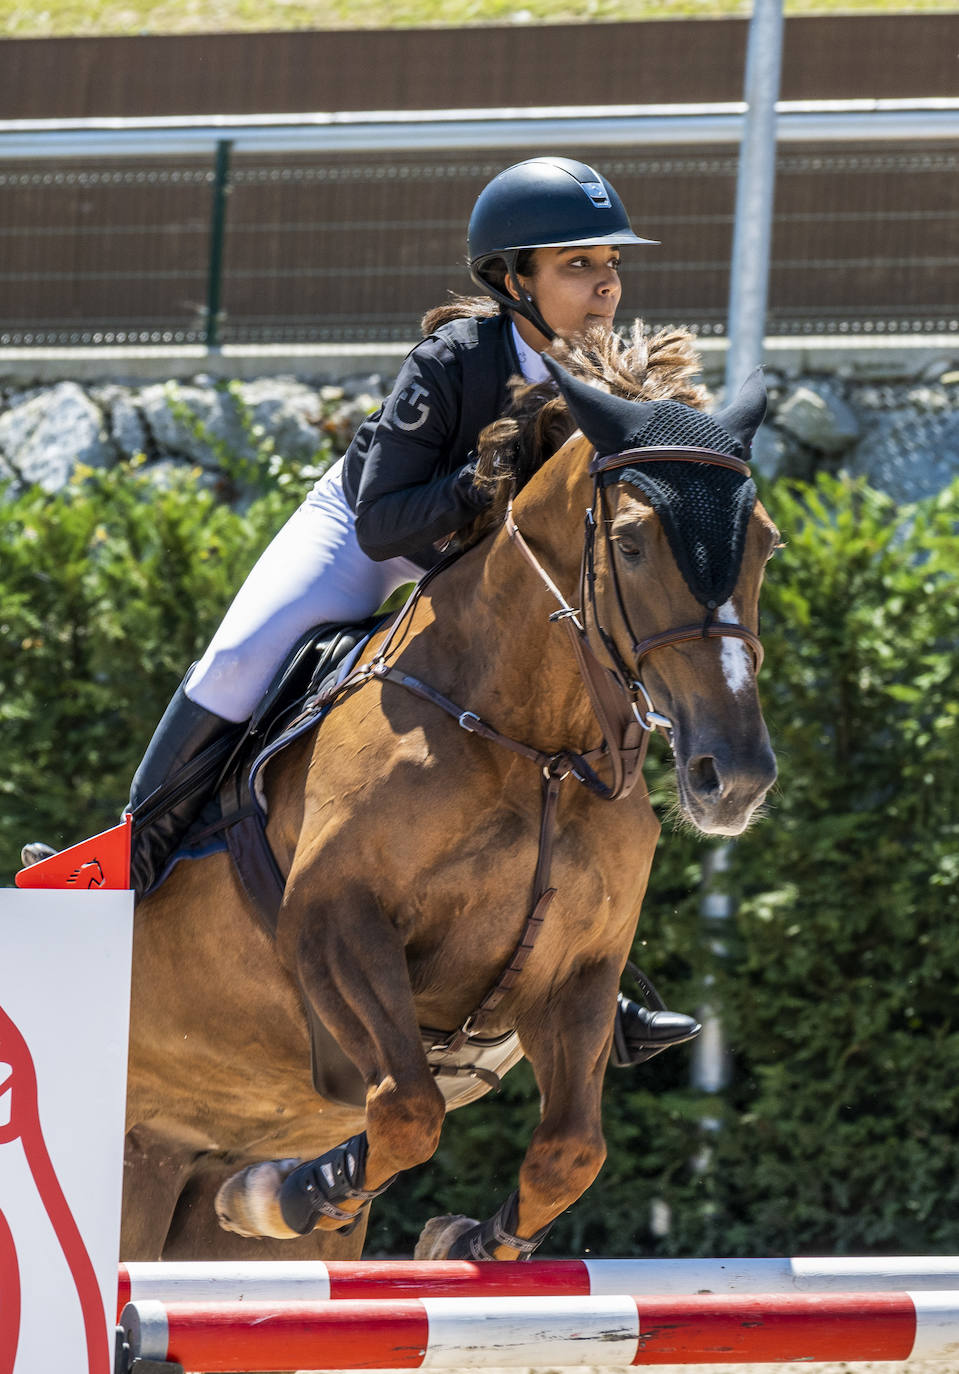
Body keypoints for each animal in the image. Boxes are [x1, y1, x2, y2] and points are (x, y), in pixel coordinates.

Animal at [121, 324, 774, 1264]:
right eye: (631, 542)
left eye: (765, 543)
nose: (736, 777)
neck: (536, 746)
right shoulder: (333, 922)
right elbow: (405, 1109)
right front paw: (291, 1189)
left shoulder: (576, 972)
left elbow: (568, 1153)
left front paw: (466, 1238)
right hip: (137, 1159)